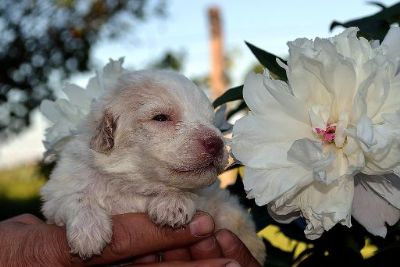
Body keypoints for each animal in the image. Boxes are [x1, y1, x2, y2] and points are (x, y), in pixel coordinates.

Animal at [39, 70, 266, 264]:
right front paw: (89, 232)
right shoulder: (57, 191)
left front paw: (173, 203)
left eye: (212, 122)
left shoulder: (213, 198)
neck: (134, 184)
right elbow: (75, 197)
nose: (217, 143)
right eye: (161, 118)